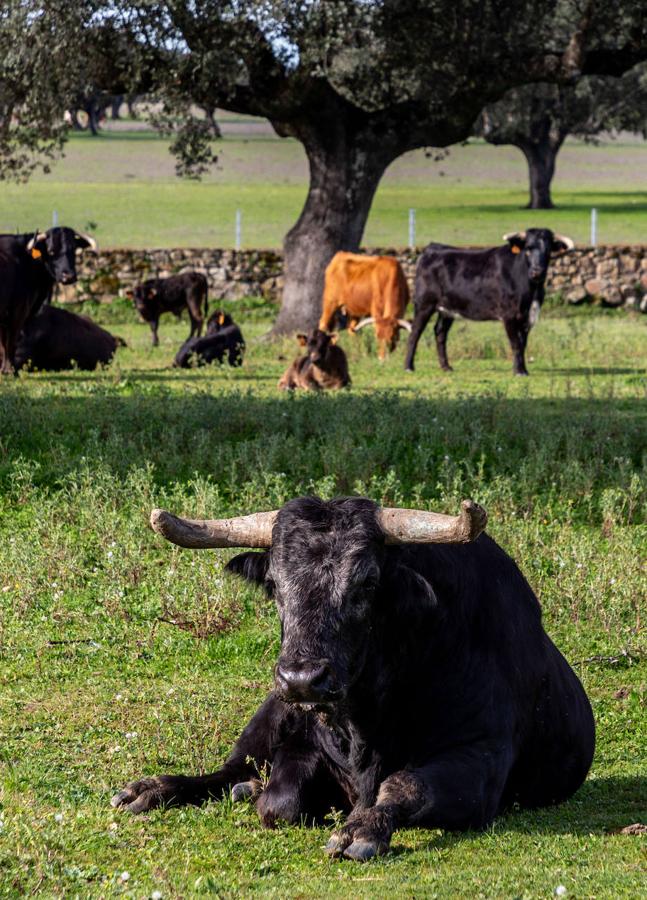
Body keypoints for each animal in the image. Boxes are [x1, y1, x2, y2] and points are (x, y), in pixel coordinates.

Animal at [0, 232, 97, 376]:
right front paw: (9, 370)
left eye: (74, 249)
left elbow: (5, 342)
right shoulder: (17, 311)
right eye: (51, 251)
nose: (68, 276)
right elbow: (9, 341)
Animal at [114, 496, 596, 860]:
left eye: (367, 582)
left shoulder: (483, 760)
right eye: (275, 583)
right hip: (270, 710)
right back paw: (152, 789)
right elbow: (280, 802)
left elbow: (404, 784)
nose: (302, 678)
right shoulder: (304, 740)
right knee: (231, 768)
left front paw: (359, 832)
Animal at [408, 232, 576, 376]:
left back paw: (446, 367)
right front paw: (519, 372)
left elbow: (523, 344)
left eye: (548, 251)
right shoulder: (509, 315)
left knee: (440, 332)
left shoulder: (528, 316)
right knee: (415, 332)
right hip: (424, 304)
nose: (537, 271)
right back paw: (409, 367)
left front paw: (523, 369)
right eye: (528, 249)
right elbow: (516, 343)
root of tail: (432, 248)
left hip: (448, 309)